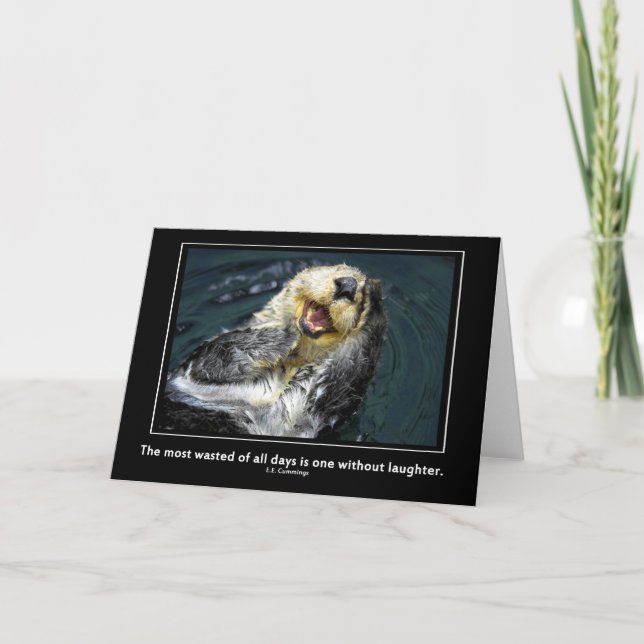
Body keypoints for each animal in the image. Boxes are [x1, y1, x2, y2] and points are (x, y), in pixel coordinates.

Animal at [160, 264, 387, 439]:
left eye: (360, 298)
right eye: (337, 269)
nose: (348, 285)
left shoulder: (302, 417)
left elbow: (346, 374)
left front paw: (374, 298)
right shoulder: (192, 368)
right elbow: (216, 354)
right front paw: (284, 336)